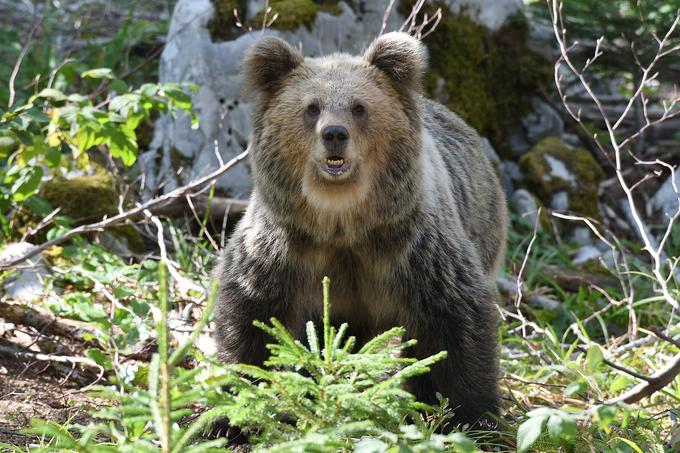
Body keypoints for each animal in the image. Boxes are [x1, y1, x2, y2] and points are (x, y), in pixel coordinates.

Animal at [215, 32, 508, 428]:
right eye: (312, 107)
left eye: (358, 107)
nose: (334, 134)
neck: (342, 221)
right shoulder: (283, 246)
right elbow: (251, 315)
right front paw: (233, 409)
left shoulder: (413, 247)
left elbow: (454, 321)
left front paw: (472, 415)